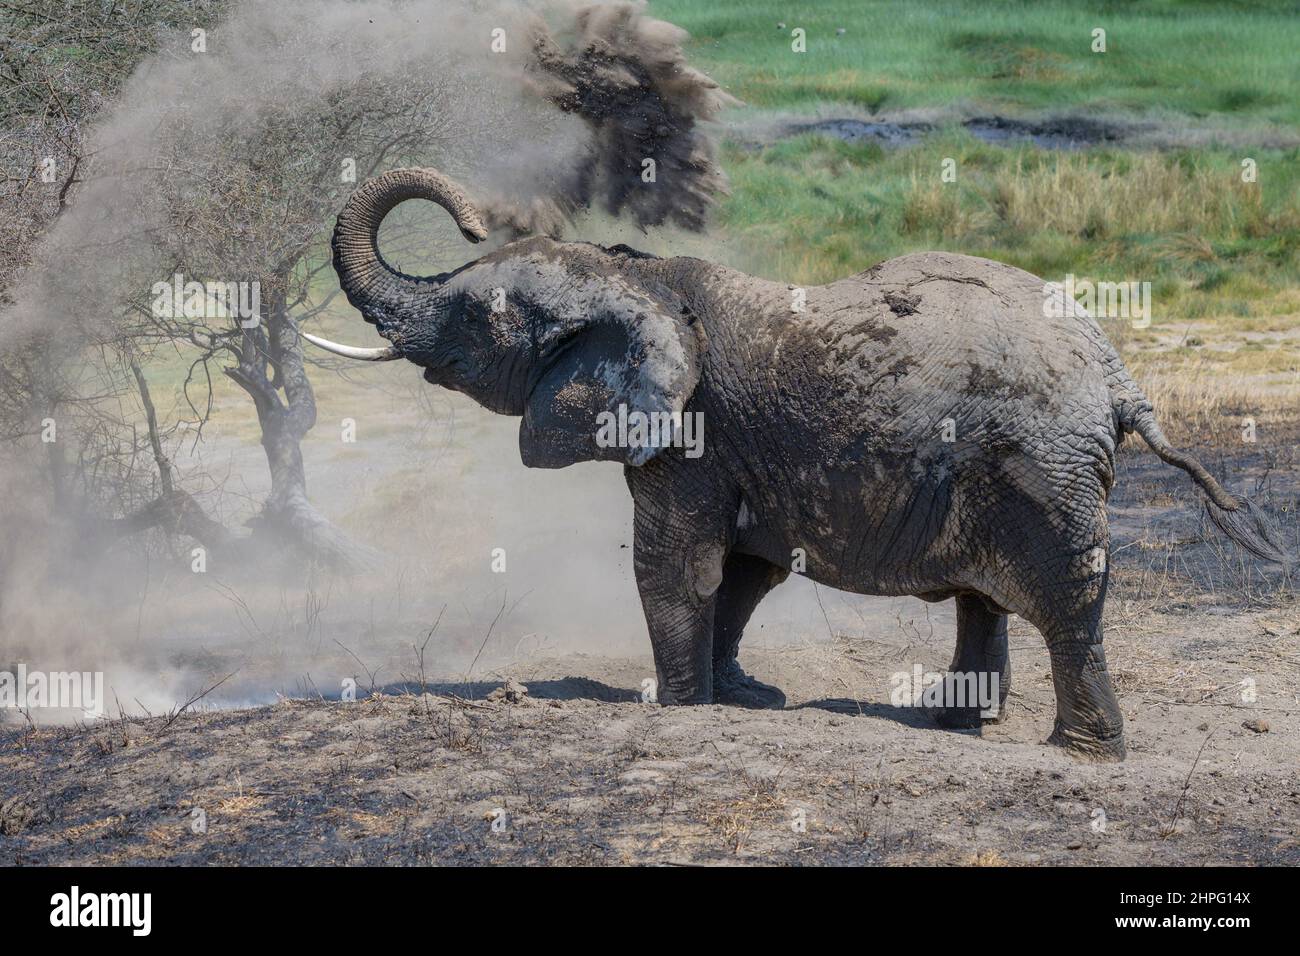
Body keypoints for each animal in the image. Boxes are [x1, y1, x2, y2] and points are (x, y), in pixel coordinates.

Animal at [306, 166, 1289, 764]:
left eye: (474, 319)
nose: (474, 214)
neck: (636, 274)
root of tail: (1120, 377)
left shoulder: (693, 433)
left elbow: (677, 564)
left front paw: (679, 709)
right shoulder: (734, 448)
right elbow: (745, 570)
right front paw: (748, 699)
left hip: (1043, 466)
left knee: (1064, 598)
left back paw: (1079, 754)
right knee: (987, 597)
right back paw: (955, 722)